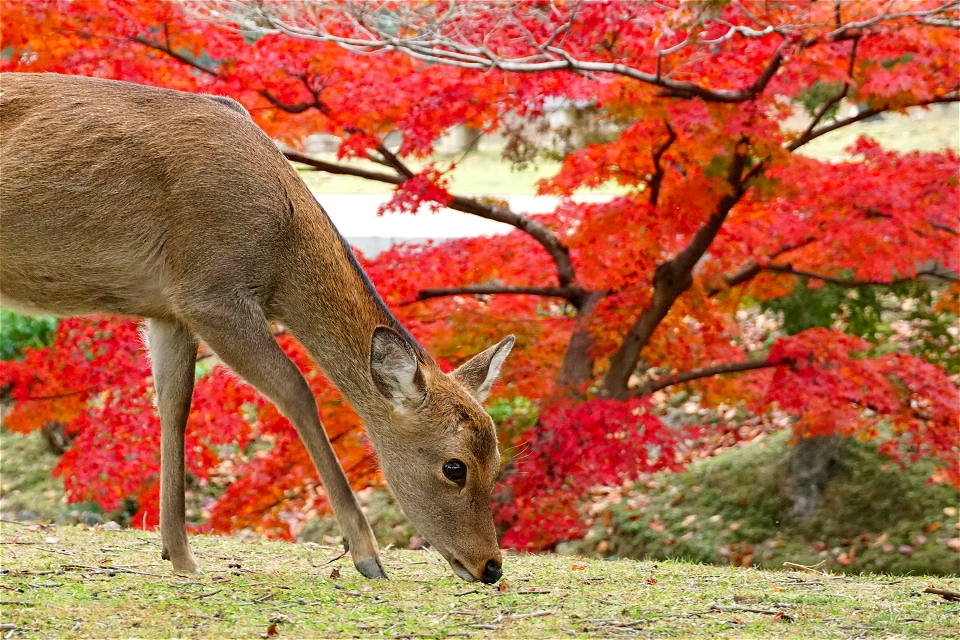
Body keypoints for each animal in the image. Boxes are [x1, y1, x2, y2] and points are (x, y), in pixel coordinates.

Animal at [3, 74, 512, 584]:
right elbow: (297, 391)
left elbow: (174, 405)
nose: (490, 566)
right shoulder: (210, 293)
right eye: (454, 467)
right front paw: (367, 555)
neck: (280, 251)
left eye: (498, 462)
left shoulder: (169, 309)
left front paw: (180, 556)